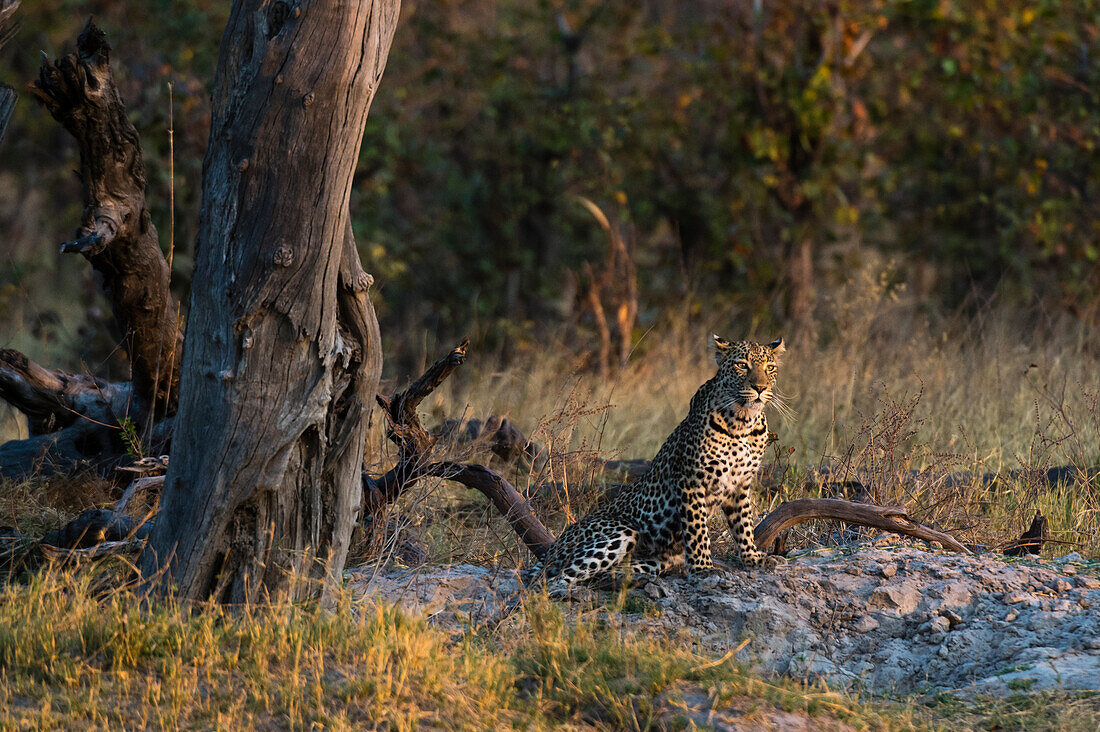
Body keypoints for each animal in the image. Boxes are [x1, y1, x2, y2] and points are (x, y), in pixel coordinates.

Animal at [528, 334, 787, 590]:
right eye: (742, 365)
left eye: (770, 368)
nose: (760, 388)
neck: (744, 422)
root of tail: (555, 545)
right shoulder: (691, 482)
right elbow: (697, 529)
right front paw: (703, 568)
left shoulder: (740, 485)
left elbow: (743, 525)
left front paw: (753, 558)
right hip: (621, 532)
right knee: (548, 582)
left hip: (653, 560)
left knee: (599, 576)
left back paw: (634, 581)